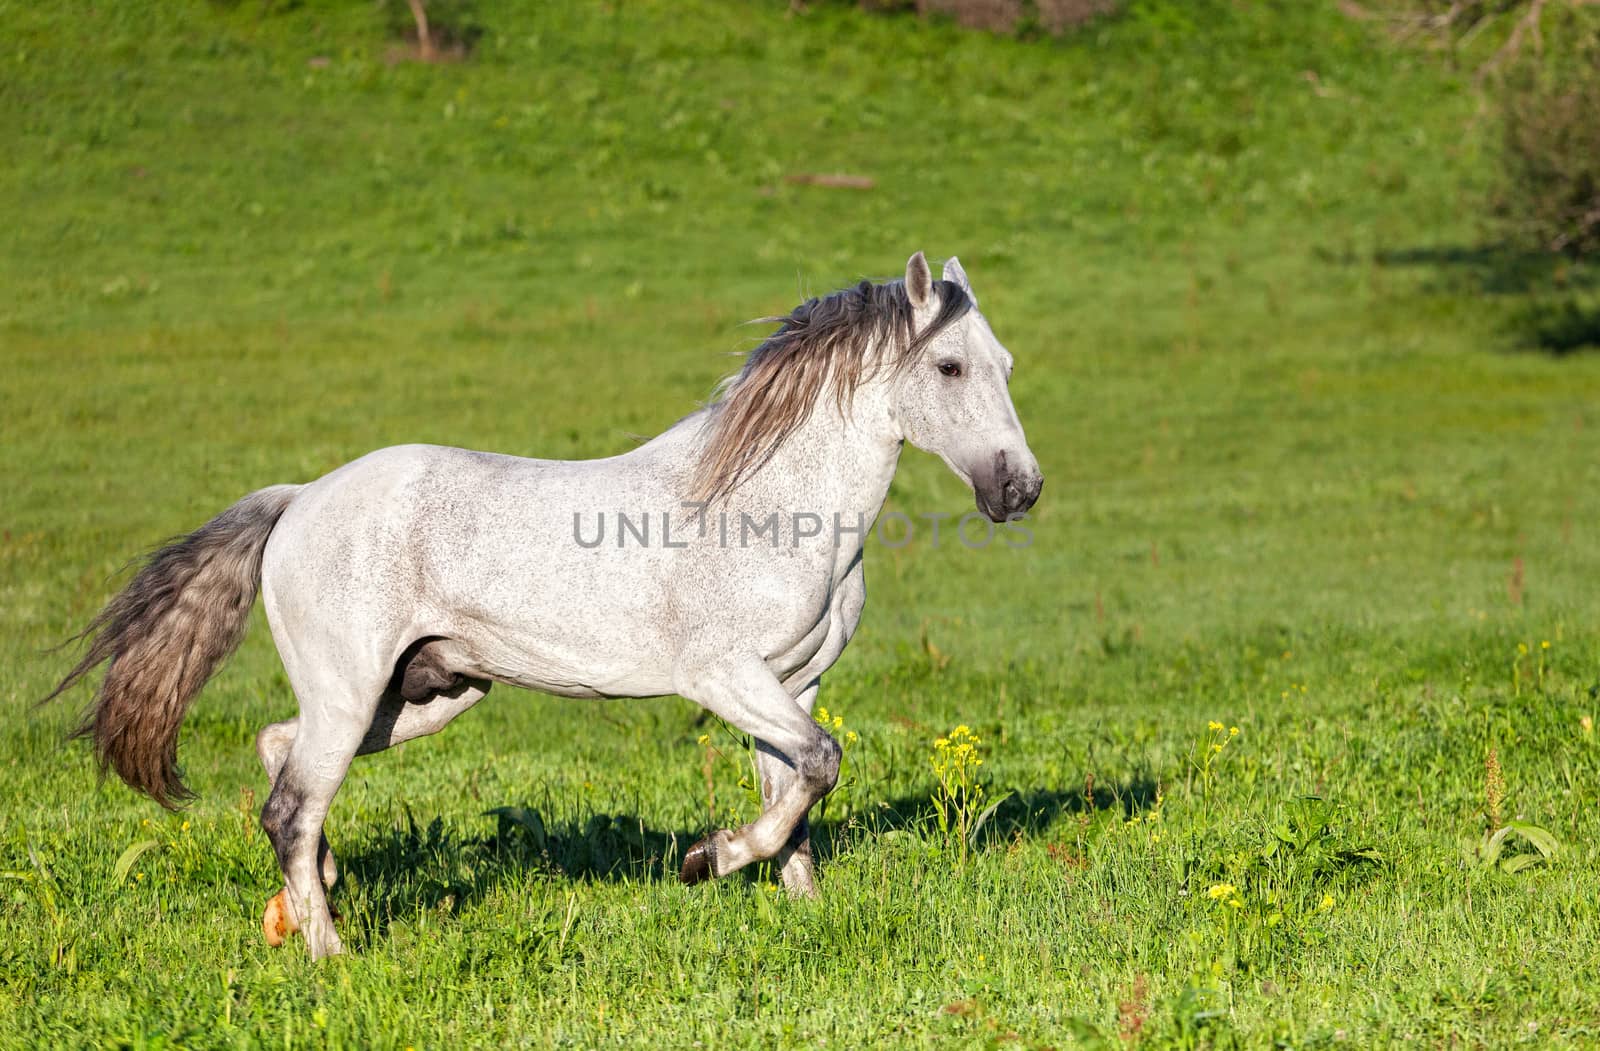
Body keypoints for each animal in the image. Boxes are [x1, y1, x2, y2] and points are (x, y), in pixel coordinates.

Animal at [50, 254, 1043, 959]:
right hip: (354, 692)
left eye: (1005, 362)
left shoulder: (790, 683)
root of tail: (299, 499)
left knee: (279, 758)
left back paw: (308, 901)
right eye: (949, 366)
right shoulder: (722, 676)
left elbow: (795, 790)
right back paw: (333, 952)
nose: (1020, 490)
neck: (767, 507)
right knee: (290, 806)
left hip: (418, 696)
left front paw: (800, 910)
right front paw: (703, 861)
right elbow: (820, 765)